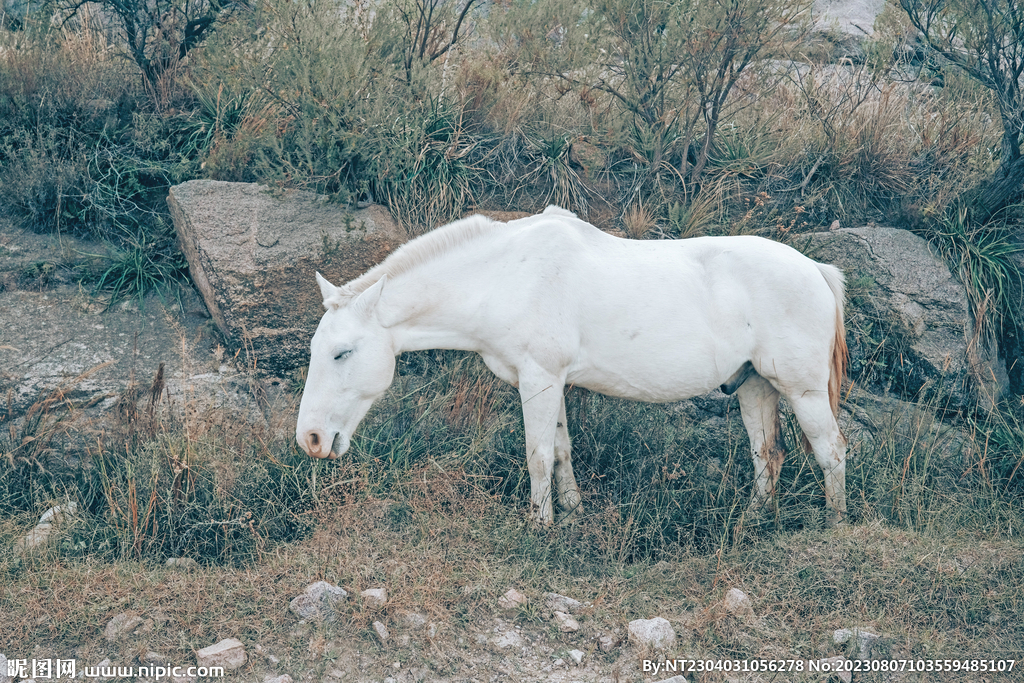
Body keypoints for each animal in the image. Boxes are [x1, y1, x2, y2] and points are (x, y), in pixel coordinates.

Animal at [296, 206, 849, 526]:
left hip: (801, 390)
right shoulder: (548, 382)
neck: (503, 276)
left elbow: (538, 455)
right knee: (767, 455)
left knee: (831, 451)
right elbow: (560, 450)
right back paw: (756, 522)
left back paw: (835, 526)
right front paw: (572, 512)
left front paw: (539, 528)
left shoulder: (539, 380)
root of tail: (815, 271)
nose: (312, 440)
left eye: (342, 353)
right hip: (755, 386)